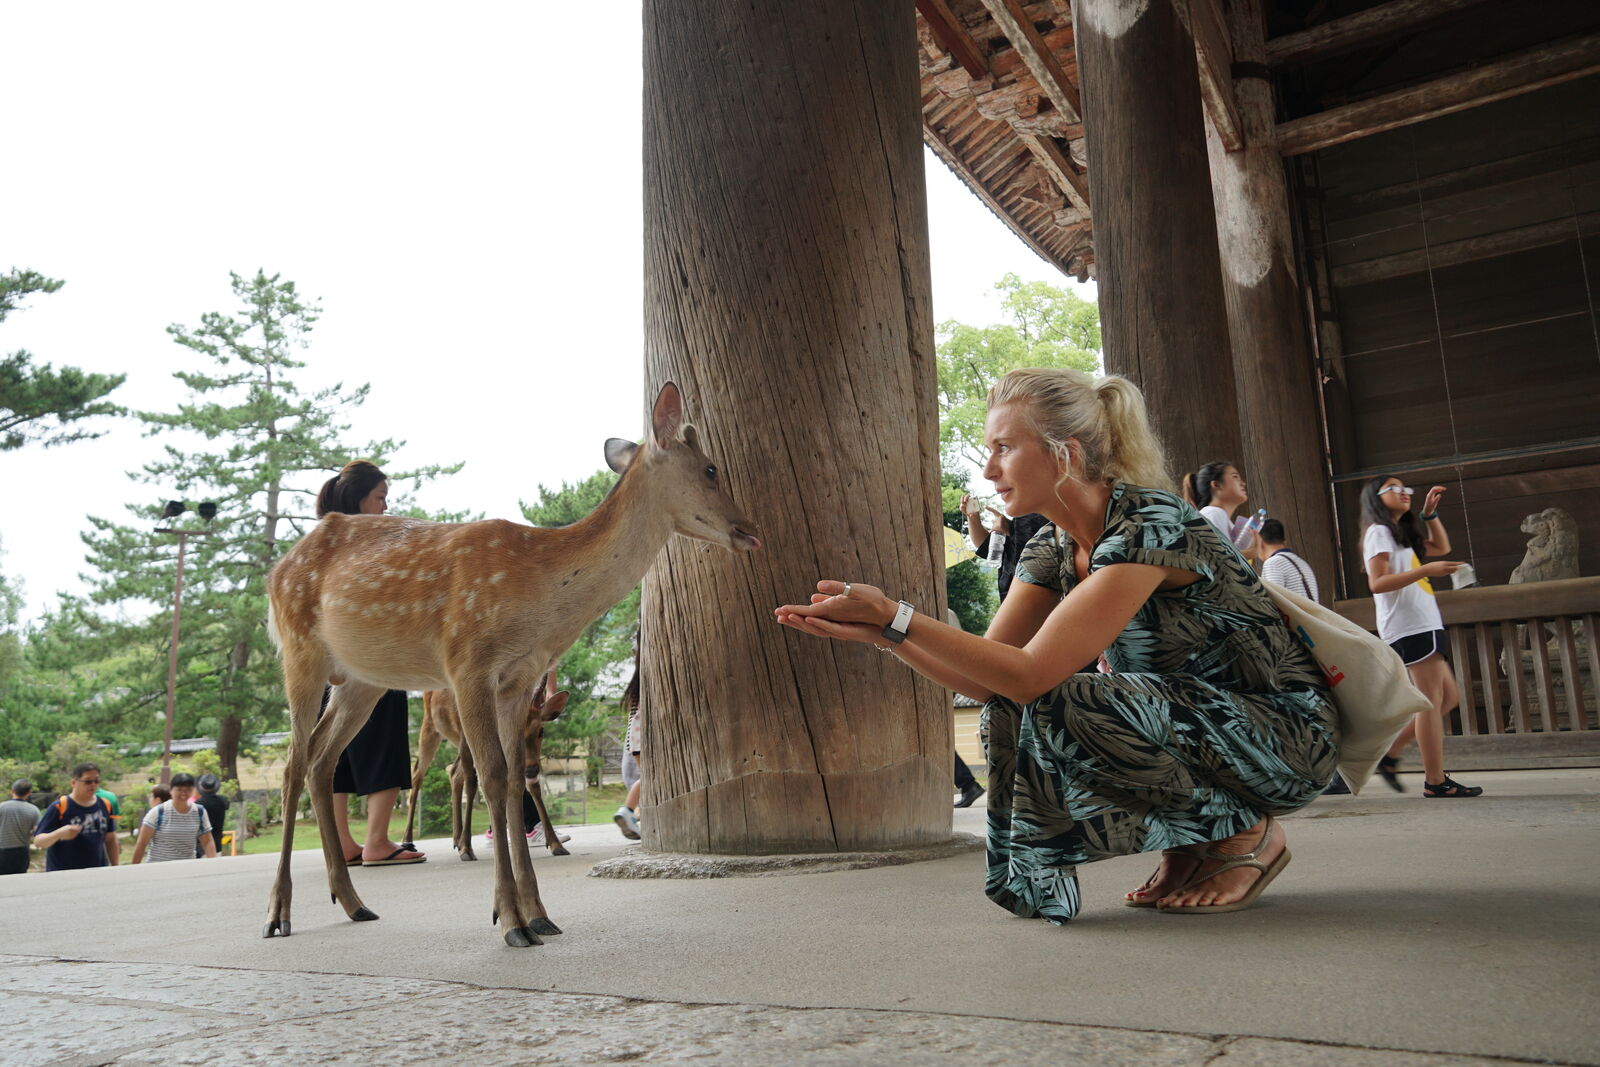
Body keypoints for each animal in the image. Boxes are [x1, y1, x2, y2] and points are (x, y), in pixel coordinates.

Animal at [399, 670, 569, 862]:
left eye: (541, 730)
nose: (531, 769)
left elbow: (534, 787)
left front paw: (556, 844)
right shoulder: (466, 738)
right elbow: (472, 784)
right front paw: (467, 848)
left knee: (454, 772)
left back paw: (456, 839)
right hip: (430, 727)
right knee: (418, 775)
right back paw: (408, 840)